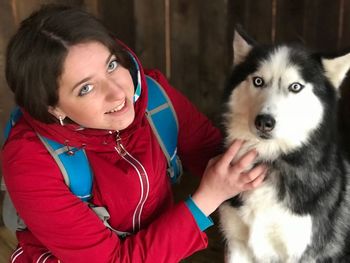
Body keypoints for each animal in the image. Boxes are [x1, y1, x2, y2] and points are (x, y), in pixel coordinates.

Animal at [220, 29, 350, 263]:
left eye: (295, 87)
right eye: (258, 81)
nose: (264, 121)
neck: (270, 160)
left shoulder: (301, 252)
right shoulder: (237, 244)